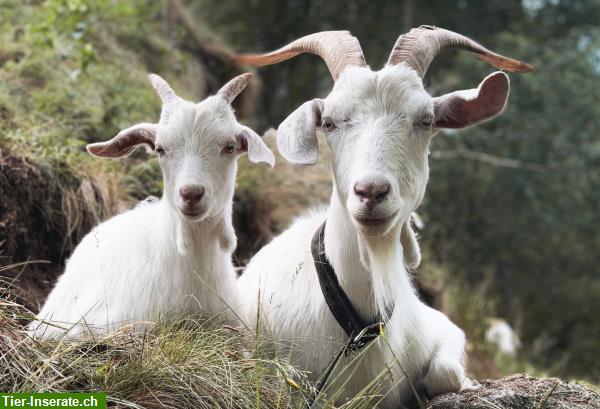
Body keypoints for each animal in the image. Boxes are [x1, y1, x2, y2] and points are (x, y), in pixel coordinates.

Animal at [234, 27, 528, 406]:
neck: (358, 326)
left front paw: (468, 383)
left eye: (426, 120)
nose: (371, 192)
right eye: (328, 122)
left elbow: (445, 372)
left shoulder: (441, 327)